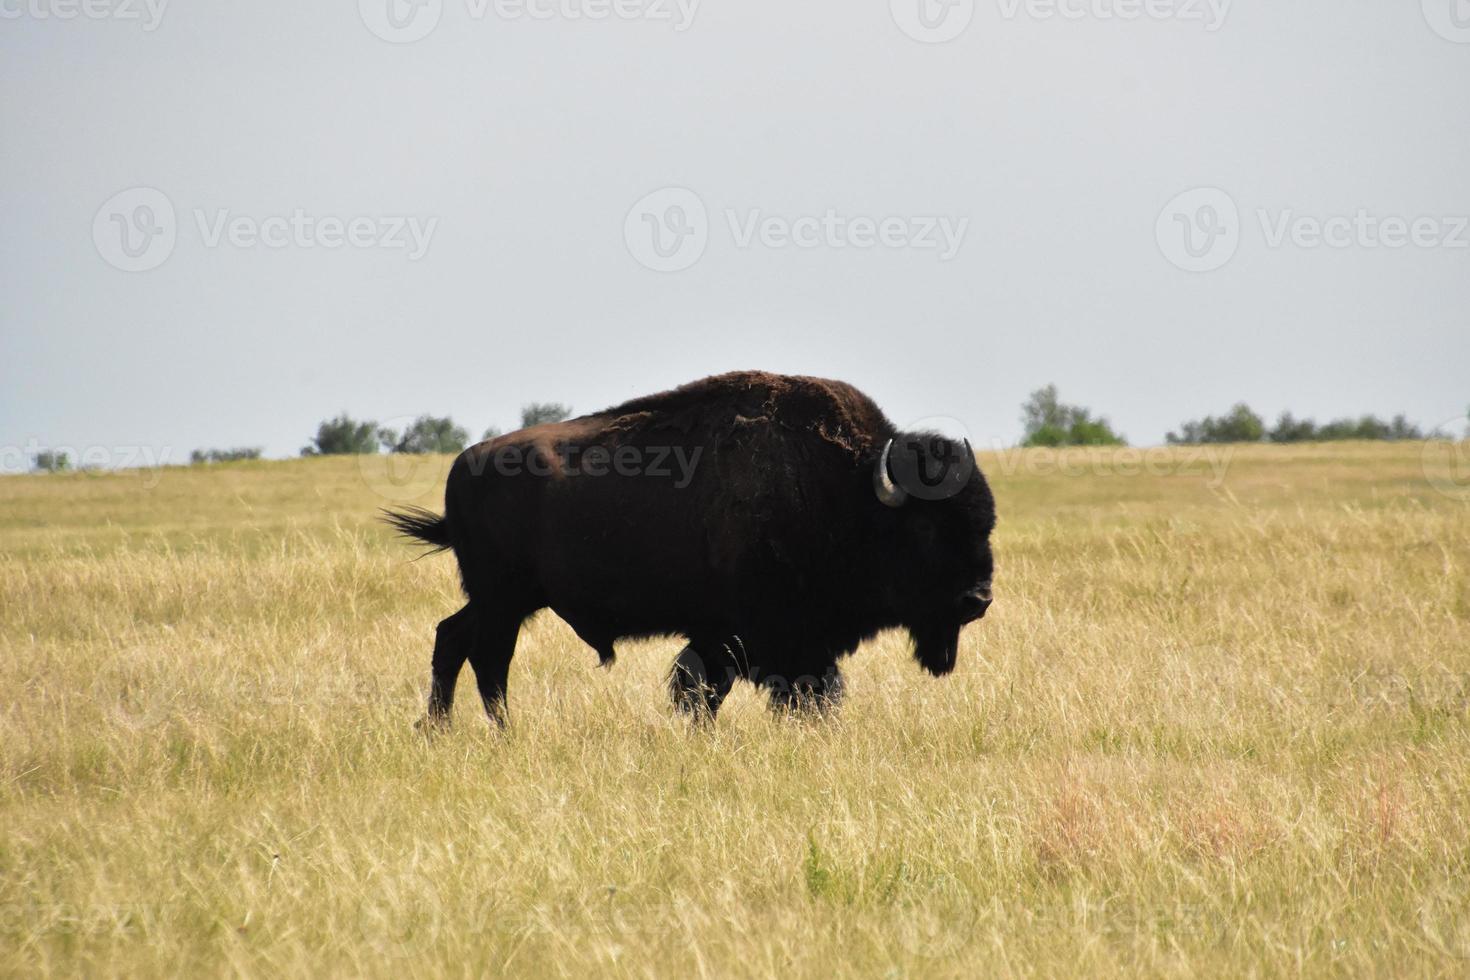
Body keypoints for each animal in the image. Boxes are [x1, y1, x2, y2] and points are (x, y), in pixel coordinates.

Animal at [385, 371, 993, 725]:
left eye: (985, 524)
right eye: (927, 529)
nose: (978, 599)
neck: (848, 491)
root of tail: (463, 465)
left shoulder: (754, 638)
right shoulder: (756, 637)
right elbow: (719, 690)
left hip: (503, 599)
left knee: (452, 639)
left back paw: (439, 730)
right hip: (503, 601)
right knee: (488, 658)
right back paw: (502, 733)